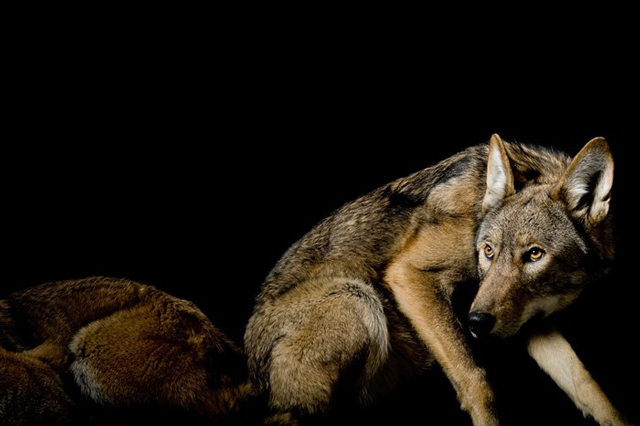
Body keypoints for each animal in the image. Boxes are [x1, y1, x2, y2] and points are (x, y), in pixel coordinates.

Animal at [244, 135, 632, 425]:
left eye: (534, 255)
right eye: (488, 252)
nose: (476, 322)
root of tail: (253, 375)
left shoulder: (532, 321)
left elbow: (587, 386)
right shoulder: (409, 274)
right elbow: (475, 379)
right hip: (358, 300)